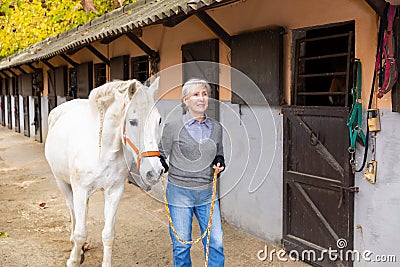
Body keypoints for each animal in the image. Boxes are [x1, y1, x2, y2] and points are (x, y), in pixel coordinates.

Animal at [43, 78, 162, 266]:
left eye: (159, 120)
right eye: (132, 121)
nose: (155, 171)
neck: (102, 149)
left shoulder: (114, 191)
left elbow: (108, 235)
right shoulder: (80, 189)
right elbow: (80, 232)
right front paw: (74, 259)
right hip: (62, 182)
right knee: (72, 210)